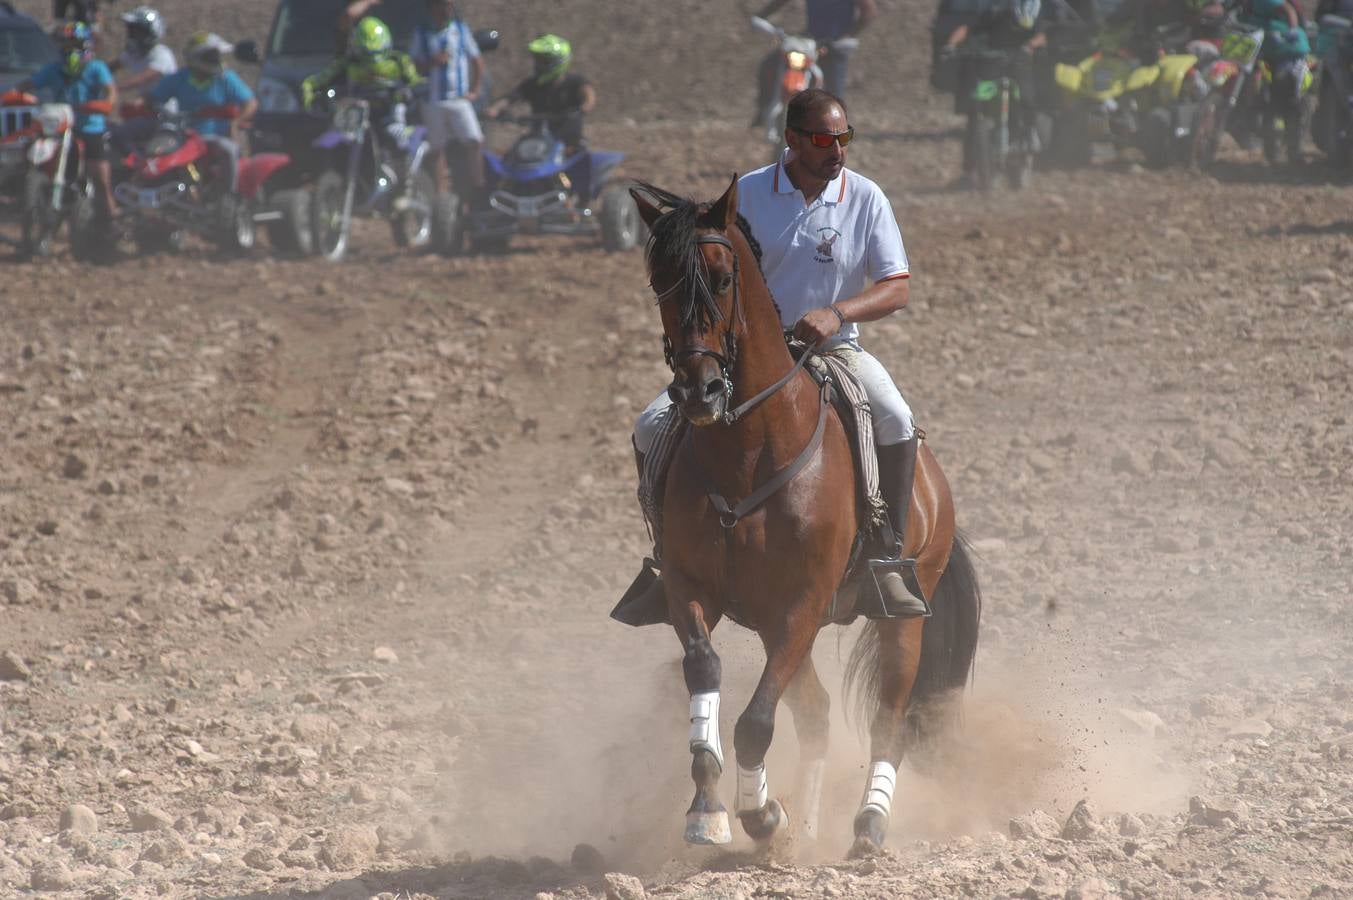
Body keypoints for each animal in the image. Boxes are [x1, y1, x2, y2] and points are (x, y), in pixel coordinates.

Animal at [627, 177, 979, 855]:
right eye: (659, 280)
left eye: (722, 277)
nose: (699, 391)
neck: (747, 452)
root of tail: (934, 480)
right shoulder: (695, 588)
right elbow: (706, 670)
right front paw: (715, 809)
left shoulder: (805, 601)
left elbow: (757, 720)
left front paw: (762, 815)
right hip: (773, 622)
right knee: (815, 714)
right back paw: (808, 827)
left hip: (899, 616)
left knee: (889, 717)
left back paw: (868, 826)